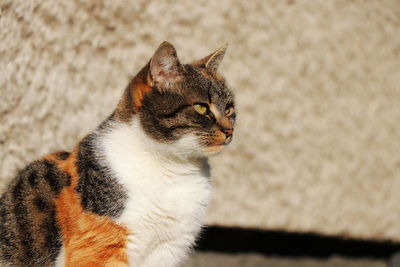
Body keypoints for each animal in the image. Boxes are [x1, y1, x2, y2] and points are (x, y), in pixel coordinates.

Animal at [0, 42, 236, 267]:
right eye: (201, 108)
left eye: (229, 109)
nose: (229, 130)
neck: (173, 168)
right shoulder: (102, 246)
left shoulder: (170, 247)